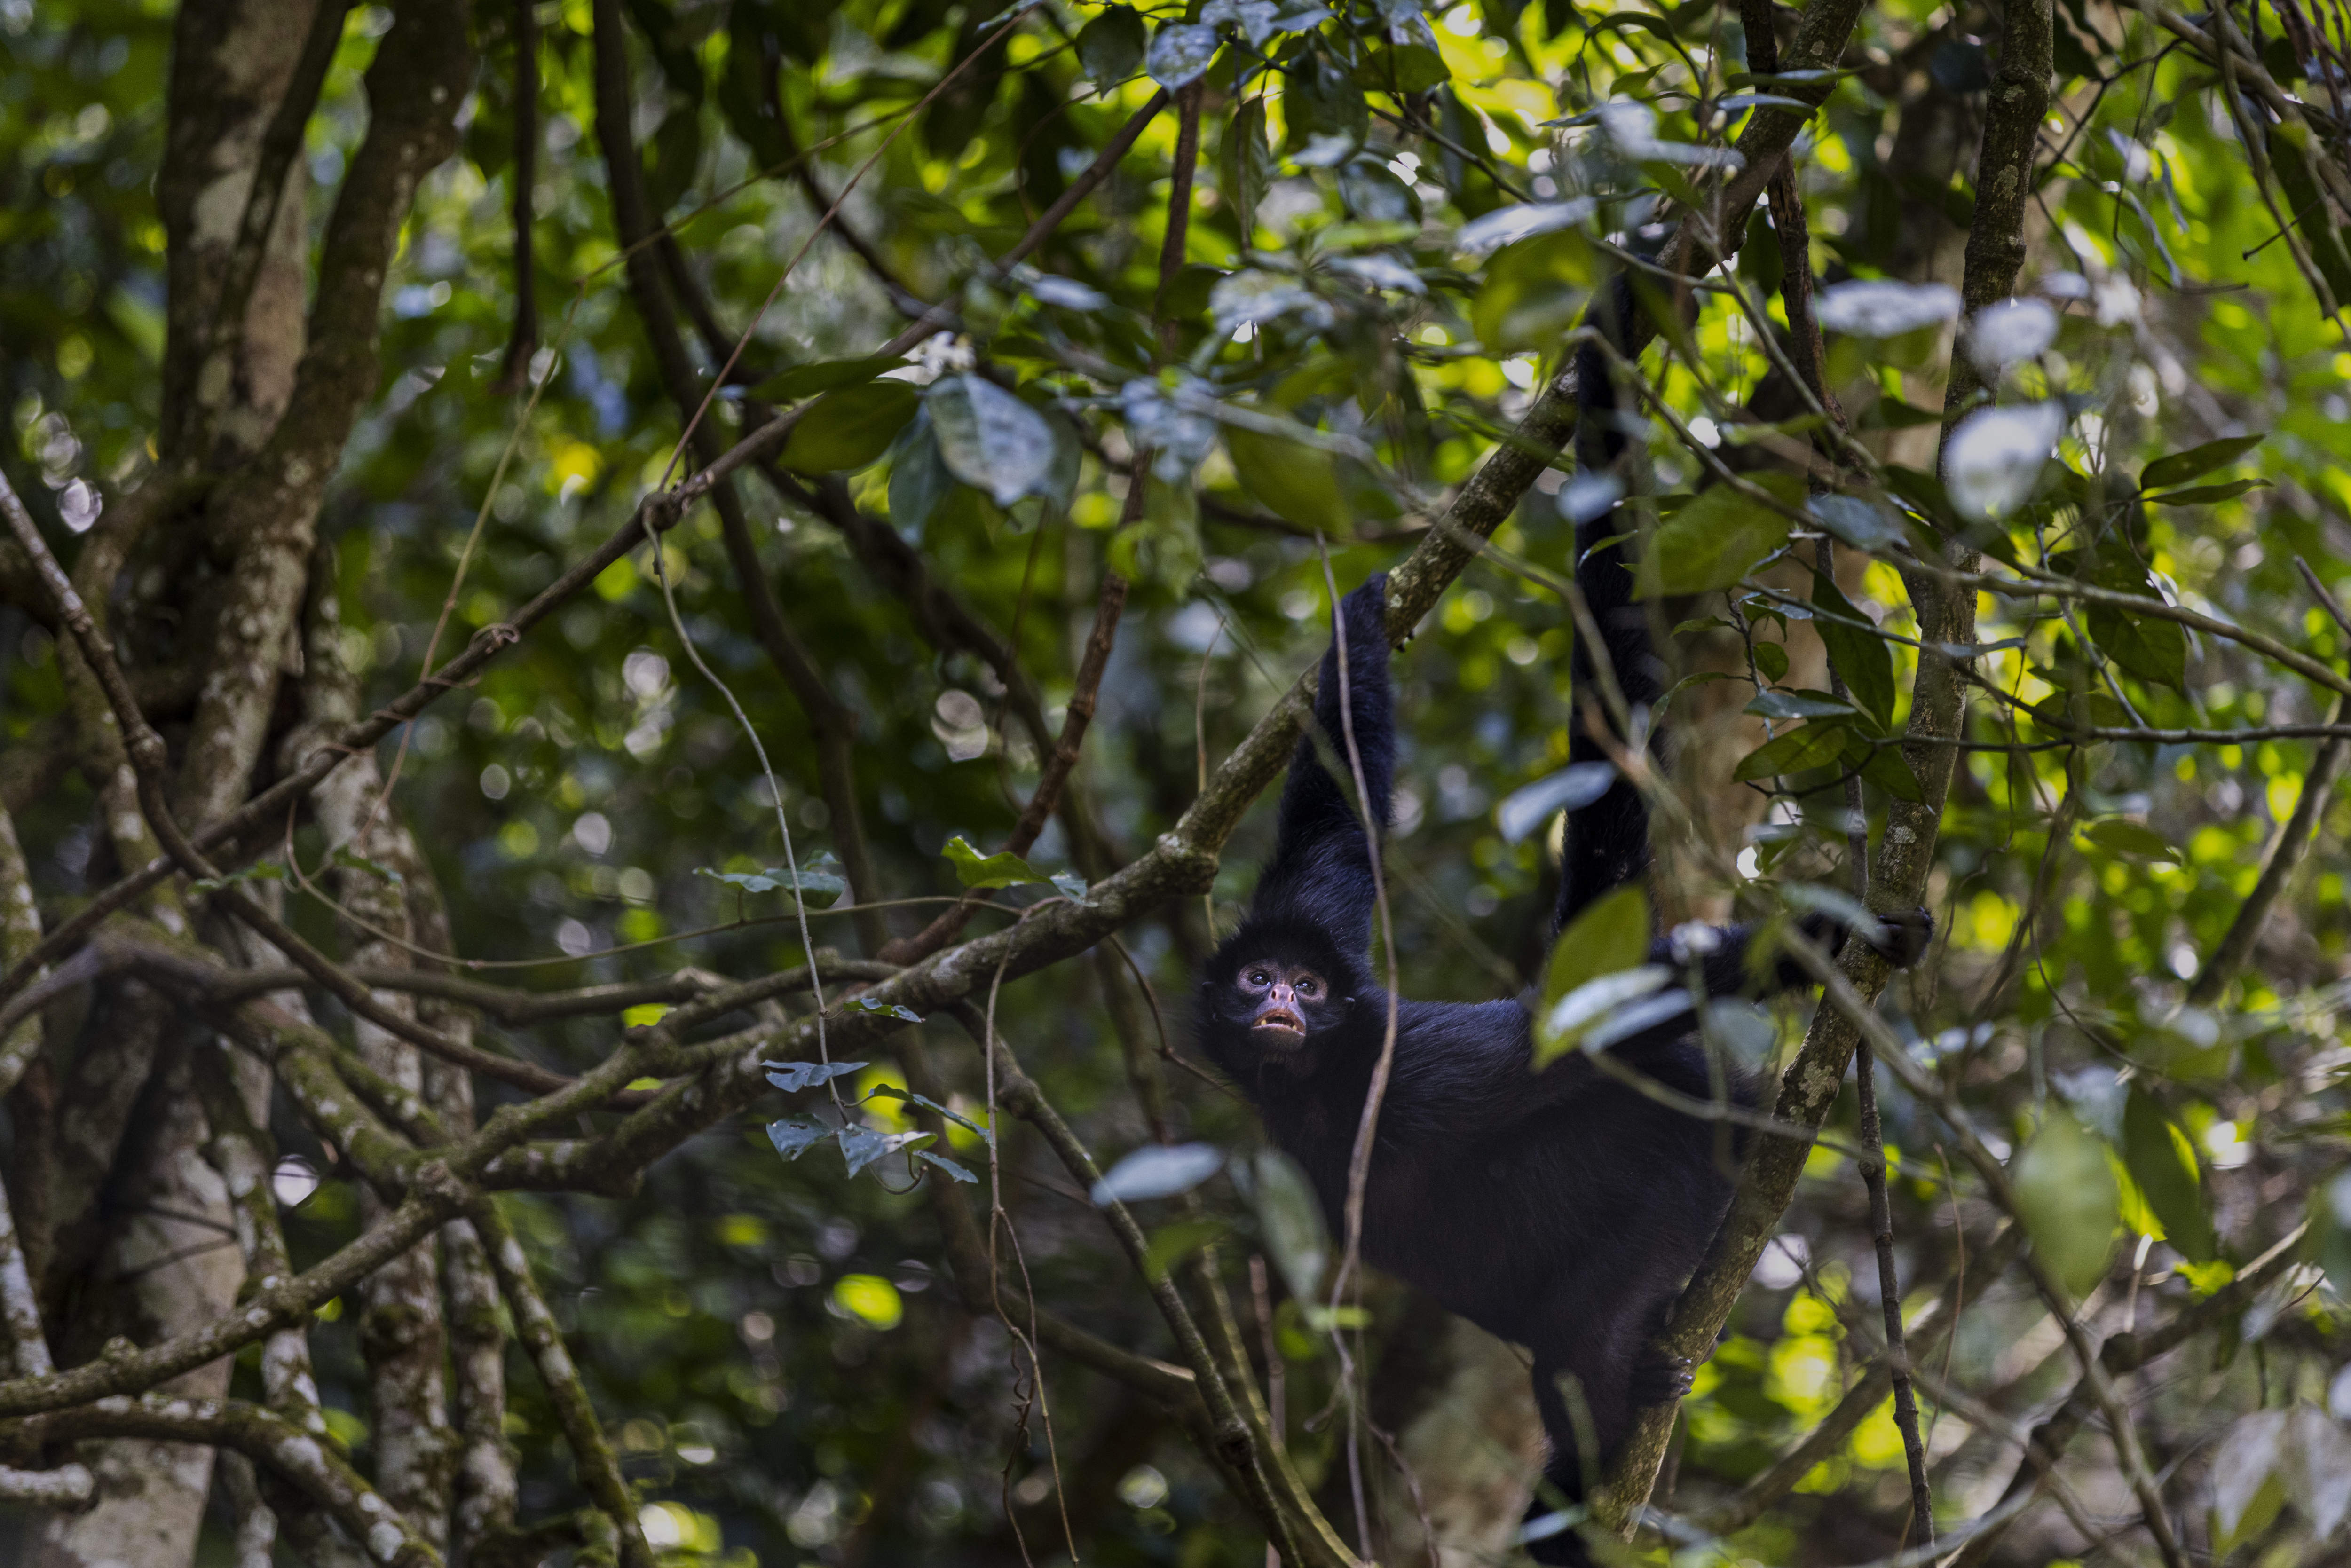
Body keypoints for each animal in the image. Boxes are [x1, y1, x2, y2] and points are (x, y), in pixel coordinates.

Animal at [1194, 303, 1928, 1561]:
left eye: (1304, 988)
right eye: (1259, 981)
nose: (1283, 999)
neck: (1324, 1077)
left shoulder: (1415, 1061)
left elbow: (1566, 1028)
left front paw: (1831, 941)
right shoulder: (1322, 921)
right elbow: (1337, 814)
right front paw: (1360, 615)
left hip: (1676, 1171)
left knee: (1583, 1339)